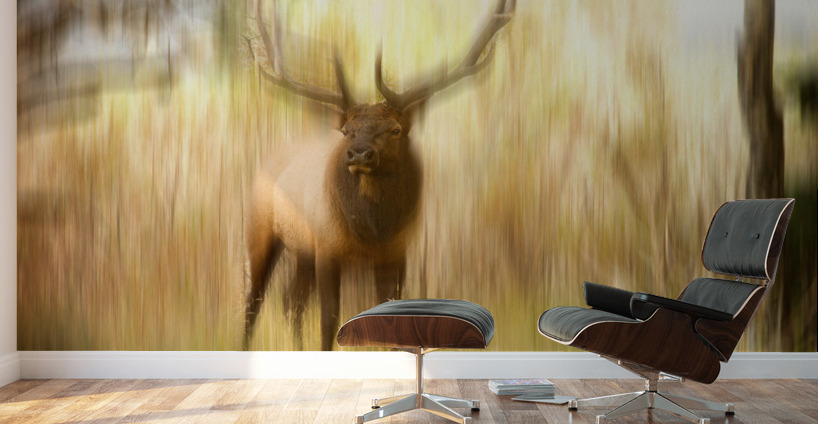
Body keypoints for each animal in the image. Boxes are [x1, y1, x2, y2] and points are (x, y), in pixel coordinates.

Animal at [244, 0, 515, 351]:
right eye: (346, 130)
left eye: (395, 129)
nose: (359, 153)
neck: (372, 231)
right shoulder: (327, 248)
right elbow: (328, 321)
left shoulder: (395, 253)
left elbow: (385, 316)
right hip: (260, 229)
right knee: (255, 302)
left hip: (301, 249)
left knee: (292, 301)